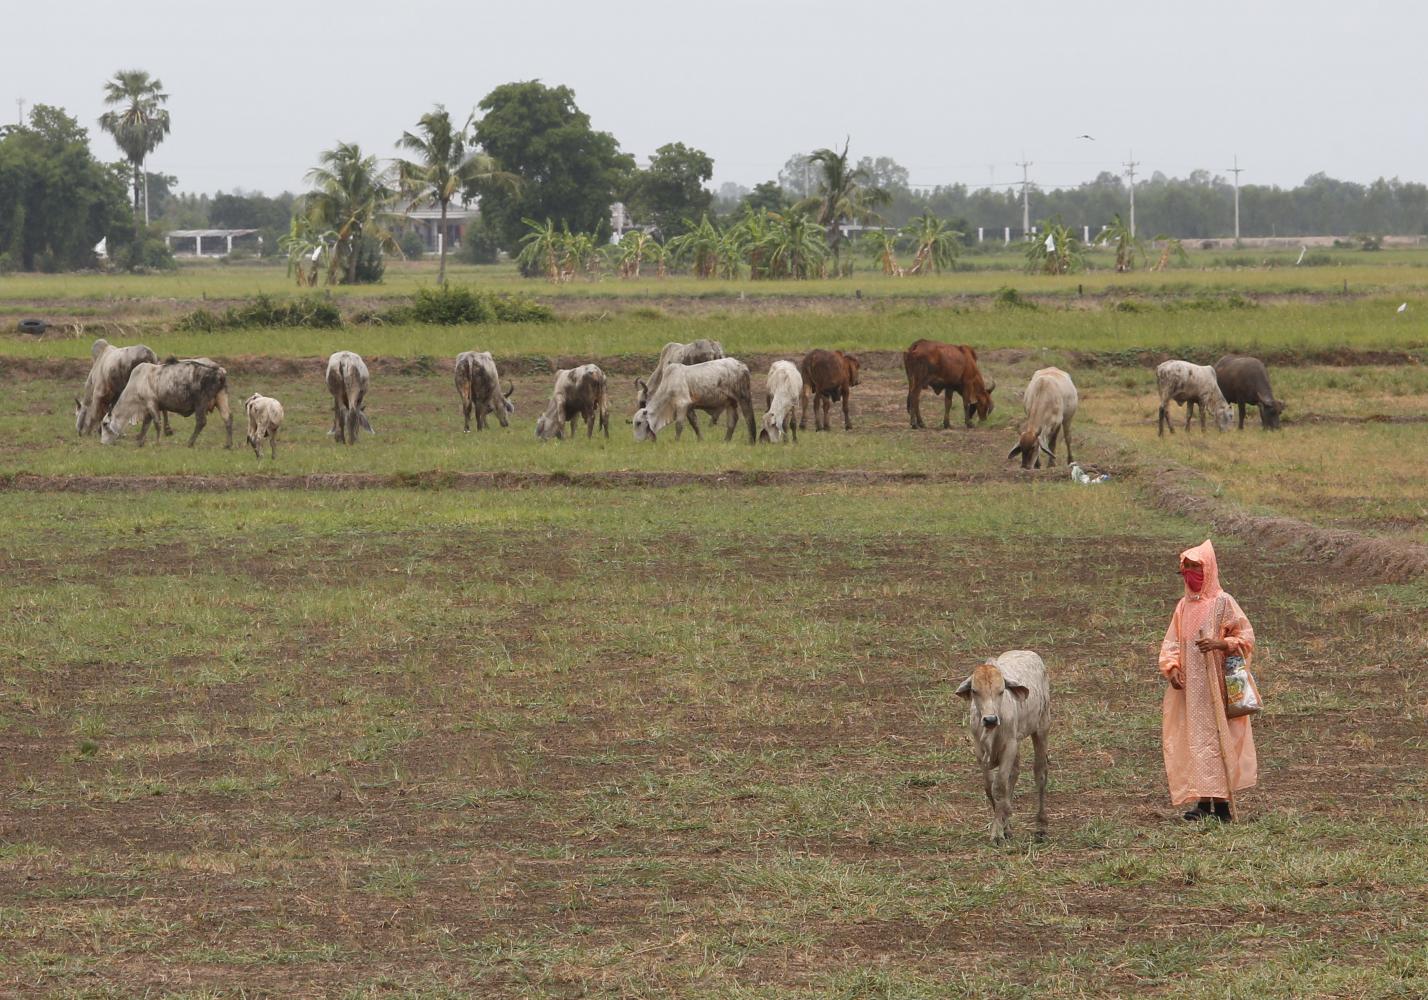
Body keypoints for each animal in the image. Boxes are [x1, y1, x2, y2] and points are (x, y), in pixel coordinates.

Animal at [102, 360, 234, 448]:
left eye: (104, 424)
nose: (102, 443)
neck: (137, 381)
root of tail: (219, 371)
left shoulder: (152, 404)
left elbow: (157, 424)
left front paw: (157, 442)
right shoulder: (148, 408)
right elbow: (145, 425)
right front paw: (140, 442)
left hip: (200, 403)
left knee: (201, 422)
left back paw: (190, 443)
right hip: (221, 398)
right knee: (227, 418)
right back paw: (228, 445)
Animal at [959, 648, 1051, 845]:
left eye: (1001, 691)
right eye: (975, 691)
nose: (990, 719)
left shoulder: (1009, 746)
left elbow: (999, 787)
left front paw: (997, 834)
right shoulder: (980, 751)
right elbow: (989, 787)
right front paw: (1004, 826)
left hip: (1042, 728)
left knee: (1040, 774)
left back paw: (1041, 826)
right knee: (1014, 774)